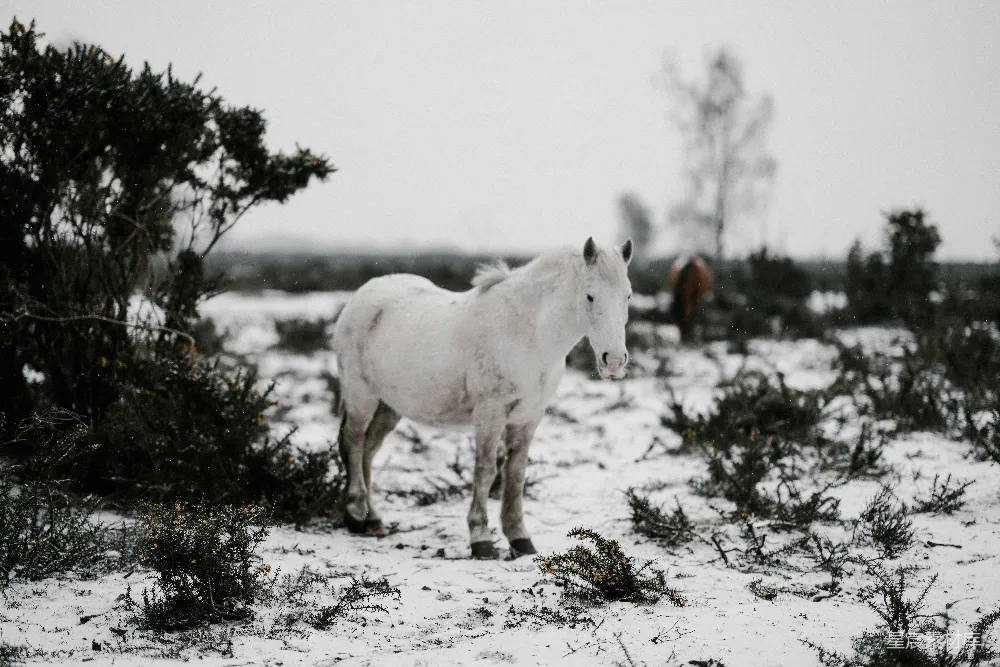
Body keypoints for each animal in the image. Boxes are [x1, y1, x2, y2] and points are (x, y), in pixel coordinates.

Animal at [332, 237, 634, 559]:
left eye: (627, 295)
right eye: (590, 296)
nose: (614, 362)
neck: (528, 334)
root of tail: (360, 297)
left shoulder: (529, 417)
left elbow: (515, 474)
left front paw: (520, 539)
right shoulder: (490, 413)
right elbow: (486, 470)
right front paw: (481, 540)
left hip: (390, 406)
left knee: (368, 450)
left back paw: (373, 520)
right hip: (361, 396)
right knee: (353, 442)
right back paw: (356, 513)